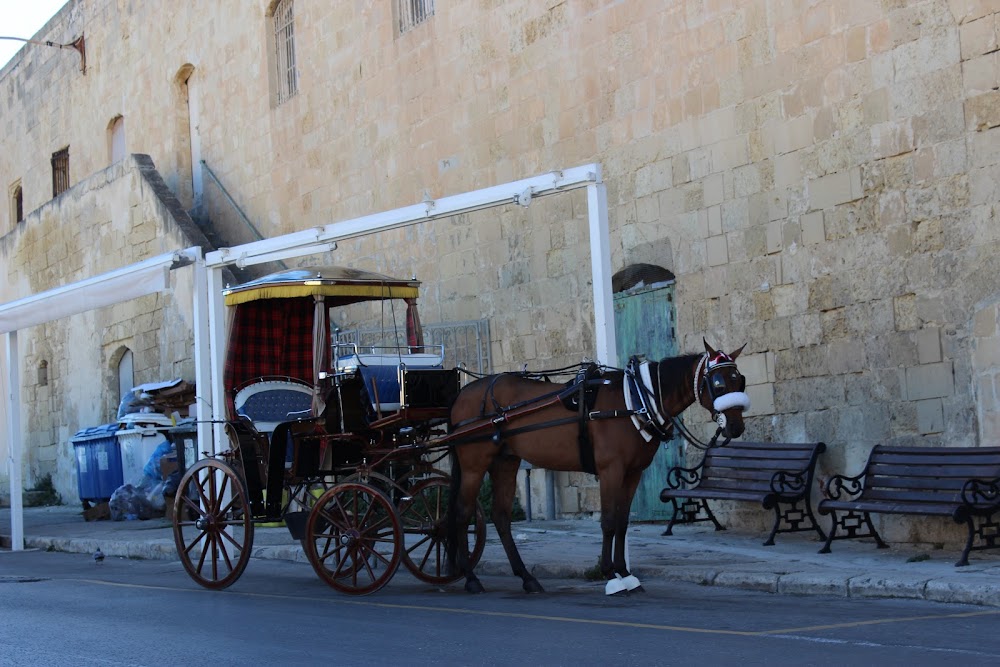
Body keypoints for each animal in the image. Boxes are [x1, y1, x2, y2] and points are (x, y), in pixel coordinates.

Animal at [446, 340, 752, 596]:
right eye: (717, 382)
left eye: (739, 379)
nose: (736, 427)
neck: (636, 400)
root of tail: (463, 393)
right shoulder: (610, 470)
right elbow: (608, 521)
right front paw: (610, 575)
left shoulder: (632, 473)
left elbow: (623, 522)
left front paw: (625, 573)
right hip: (474, 465)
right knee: (462, 513)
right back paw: (471, 577)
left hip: (505, 462)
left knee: (500, 517)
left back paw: (526, 578)